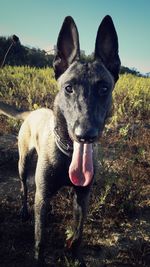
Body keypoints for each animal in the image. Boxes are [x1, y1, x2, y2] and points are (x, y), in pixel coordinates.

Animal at [0, 16, 120, 267]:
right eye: (68, 88)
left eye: (104, 88)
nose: (85, 134)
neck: (68, 153)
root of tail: (32, 112)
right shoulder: (42, 197)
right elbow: (40, 238)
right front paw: (39, 259)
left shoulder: (82, 197)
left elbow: (78, 233)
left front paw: (76, 257)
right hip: (23, 164)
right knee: (24, 188)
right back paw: (24, 210)